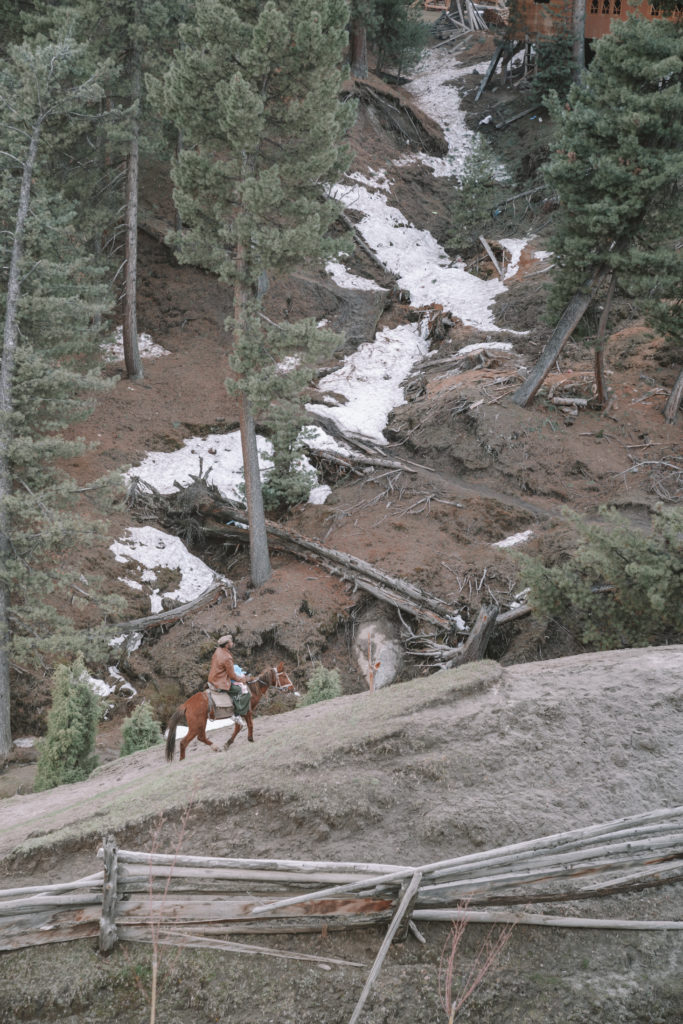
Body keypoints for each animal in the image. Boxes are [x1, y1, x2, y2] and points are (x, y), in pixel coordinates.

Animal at [166, 663, 294, 761]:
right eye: (284, 676)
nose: (292, 688)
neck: (251, 690)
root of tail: (186, 704)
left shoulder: (239, 714)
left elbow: (238, 728)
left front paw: (228, 743)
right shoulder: (246, 712)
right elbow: (250, 725)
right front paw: (250, 739)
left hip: (200, 724)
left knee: (200, 737)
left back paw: (214, 748)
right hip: (197, 725)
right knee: (184, 742)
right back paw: (185, 758)